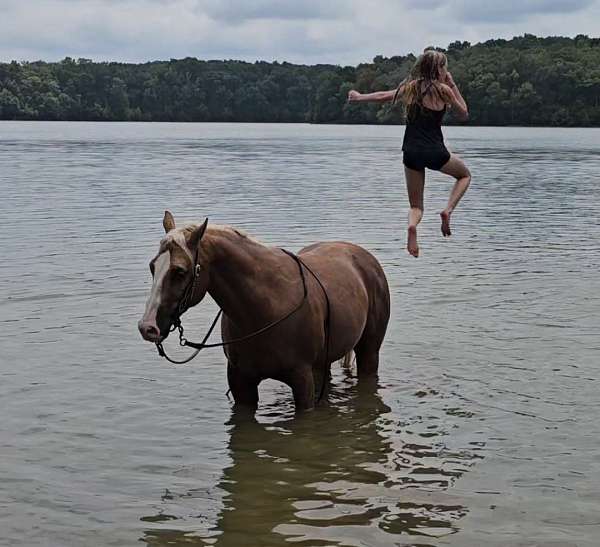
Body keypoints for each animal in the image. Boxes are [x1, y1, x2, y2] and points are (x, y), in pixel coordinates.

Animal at [138, 212, 392, 414]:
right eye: (152, 267)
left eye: (179, 271)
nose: (147, 327)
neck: (265, 307)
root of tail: (363, 257)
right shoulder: (241, 383)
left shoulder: (302, 381)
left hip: (369, 352)